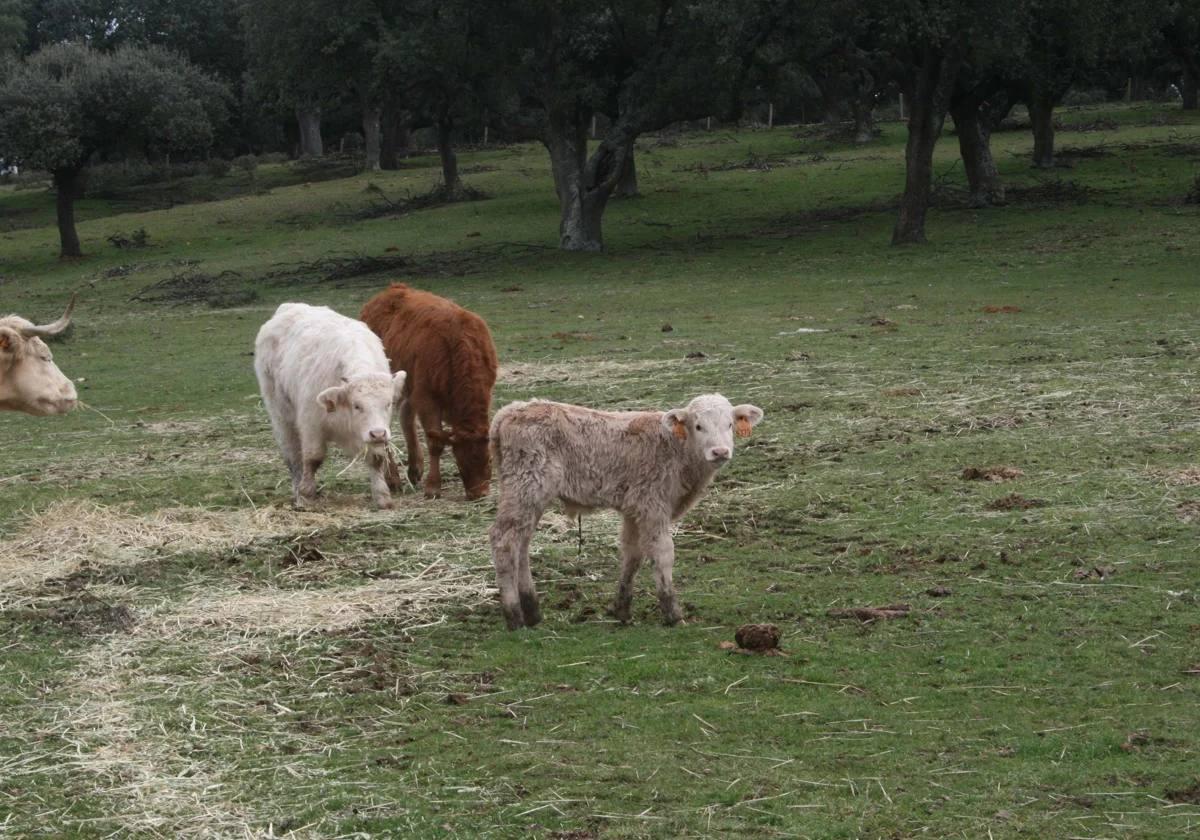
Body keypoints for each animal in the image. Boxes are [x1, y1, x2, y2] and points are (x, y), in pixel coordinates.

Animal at [253, 303, 408, 508]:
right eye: (357, 406)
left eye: (388, 404)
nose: (378, 434)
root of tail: (289, 307)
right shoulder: (311, 423)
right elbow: (312, 458)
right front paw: (306, 495)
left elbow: (376, 459)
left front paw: (382, 496)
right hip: (280, 415)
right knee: (293, 455)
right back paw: (297, 488)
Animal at [362, 285, 499, 501]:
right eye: (460, 461)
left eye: (490, 460)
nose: (479, 493)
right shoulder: (427, 398)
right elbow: (435, 442)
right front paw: (433, 486)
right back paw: (393, 479)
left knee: (406, 418)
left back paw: (415, 468)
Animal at [484, 396, 758, 628]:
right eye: (698, 426)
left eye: (730, 424)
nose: (720, 451)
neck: (675, 448)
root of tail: (510, 412)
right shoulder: (652, 504)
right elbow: (663, 553)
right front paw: (673, 613)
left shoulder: (633, 508)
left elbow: (632, 554)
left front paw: (622, 610)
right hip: (526, 487)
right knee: (504, 540)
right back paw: (514, 617)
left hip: (528, 494)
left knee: (522, 544)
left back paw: (532, 611)